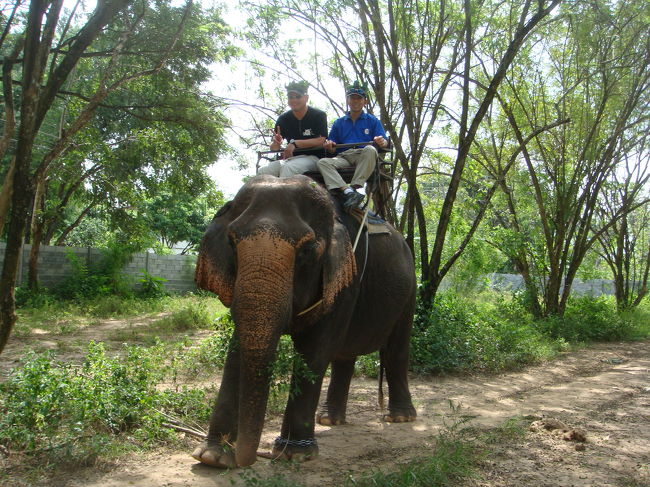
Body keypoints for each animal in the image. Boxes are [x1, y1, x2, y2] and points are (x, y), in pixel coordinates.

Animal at [192, 175, 416, 468]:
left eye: (307, 251)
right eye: (231, 243)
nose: (248, 460)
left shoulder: (347, 277)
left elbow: (314, 350)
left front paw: (294, 454)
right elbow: (237, 348)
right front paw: (213, 457)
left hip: (409, 290)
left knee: (395, 351)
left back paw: (400, 418)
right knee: (344, 356)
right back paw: (330, 420)